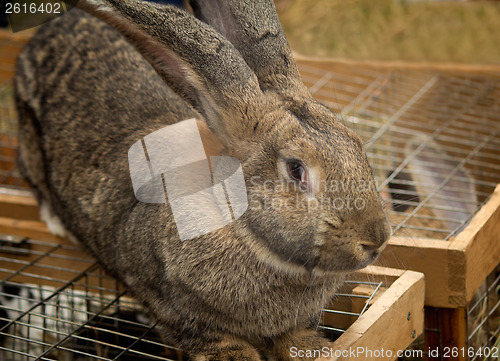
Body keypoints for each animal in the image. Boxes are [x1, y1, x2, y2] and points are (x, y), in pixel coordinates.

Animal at [14, 1, 390, 358]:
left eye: (357, 146)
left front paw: (315, 349)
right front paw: (236, 356)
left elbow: (296, 336)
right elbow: (213, 340)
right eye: (296, 170)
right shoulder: (171, 307)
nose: (376, 240)